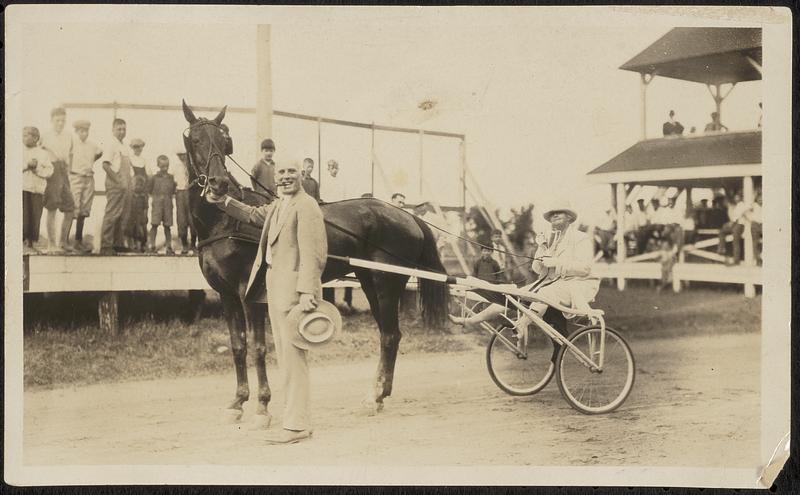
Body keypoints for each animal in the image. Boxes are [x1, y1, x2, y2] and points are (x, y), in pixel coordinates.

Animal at [180, 101, 450, 426]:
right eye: (196, 139)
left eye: (224, 141)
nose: (218, 183)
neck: (226, 221)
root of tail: (407, 216)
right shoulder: (227, 295)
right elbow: (238, 346)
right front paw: (237, 402)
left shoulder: (249, 292)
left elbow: (258, 347)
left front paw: (262, 406)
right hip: (370, 282)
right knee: (390, 334)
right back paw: (379, 395)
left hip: (386, 284)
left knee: (389, 336)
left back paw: (374, 397)